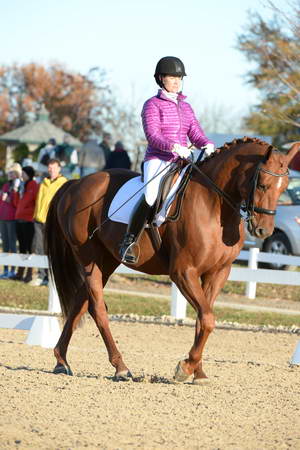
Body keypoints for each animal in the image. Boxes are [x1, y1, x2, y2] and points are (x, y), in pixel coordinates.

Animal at [44, 136, 300, 384]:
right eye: (262, 184)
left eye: (284, 189)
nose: (263, 231)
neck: (214, 206)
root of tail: (76, 184)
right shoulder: (183, 272)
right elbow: (208, 318)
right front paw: (185, 368)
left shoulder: (218, 273)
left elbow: (202, 319)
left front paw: (198, 372)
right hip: (89, 257)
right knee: (97, 308)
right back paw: (121, 367)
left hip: (106, 261)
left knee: (79, 303)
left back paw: (61, 360)